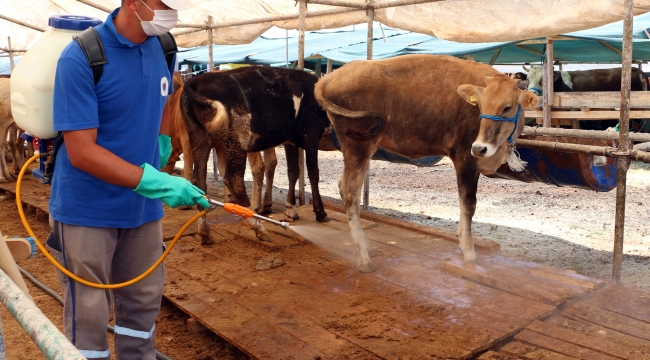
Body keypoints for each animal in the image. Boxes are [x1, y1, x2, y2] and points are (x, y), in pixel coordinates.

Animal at [181, 66, 330, 243]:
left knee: (199, 181)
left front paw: (291, 209)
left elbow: (293, 171)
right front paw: (320, 212)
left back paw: (204, 232)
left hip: (200, 139)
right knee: (234, 179)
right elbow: (313, 172)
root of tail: (194, 82)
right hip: (235, 143)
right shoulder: (311, 136)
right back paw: (258, 226)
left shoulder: (290, 140)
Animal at [314, 54, 536, 272]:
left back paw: (365, 248)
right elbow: (468, 204)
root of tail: (329, 77)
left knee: (343, 186)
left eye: (507, 107)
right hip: (359, 145)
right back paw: (363, 258)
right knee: (351, 194)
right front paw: (469, 253)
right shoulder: (465, 156)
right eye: (480, 105)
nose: (480, 147)